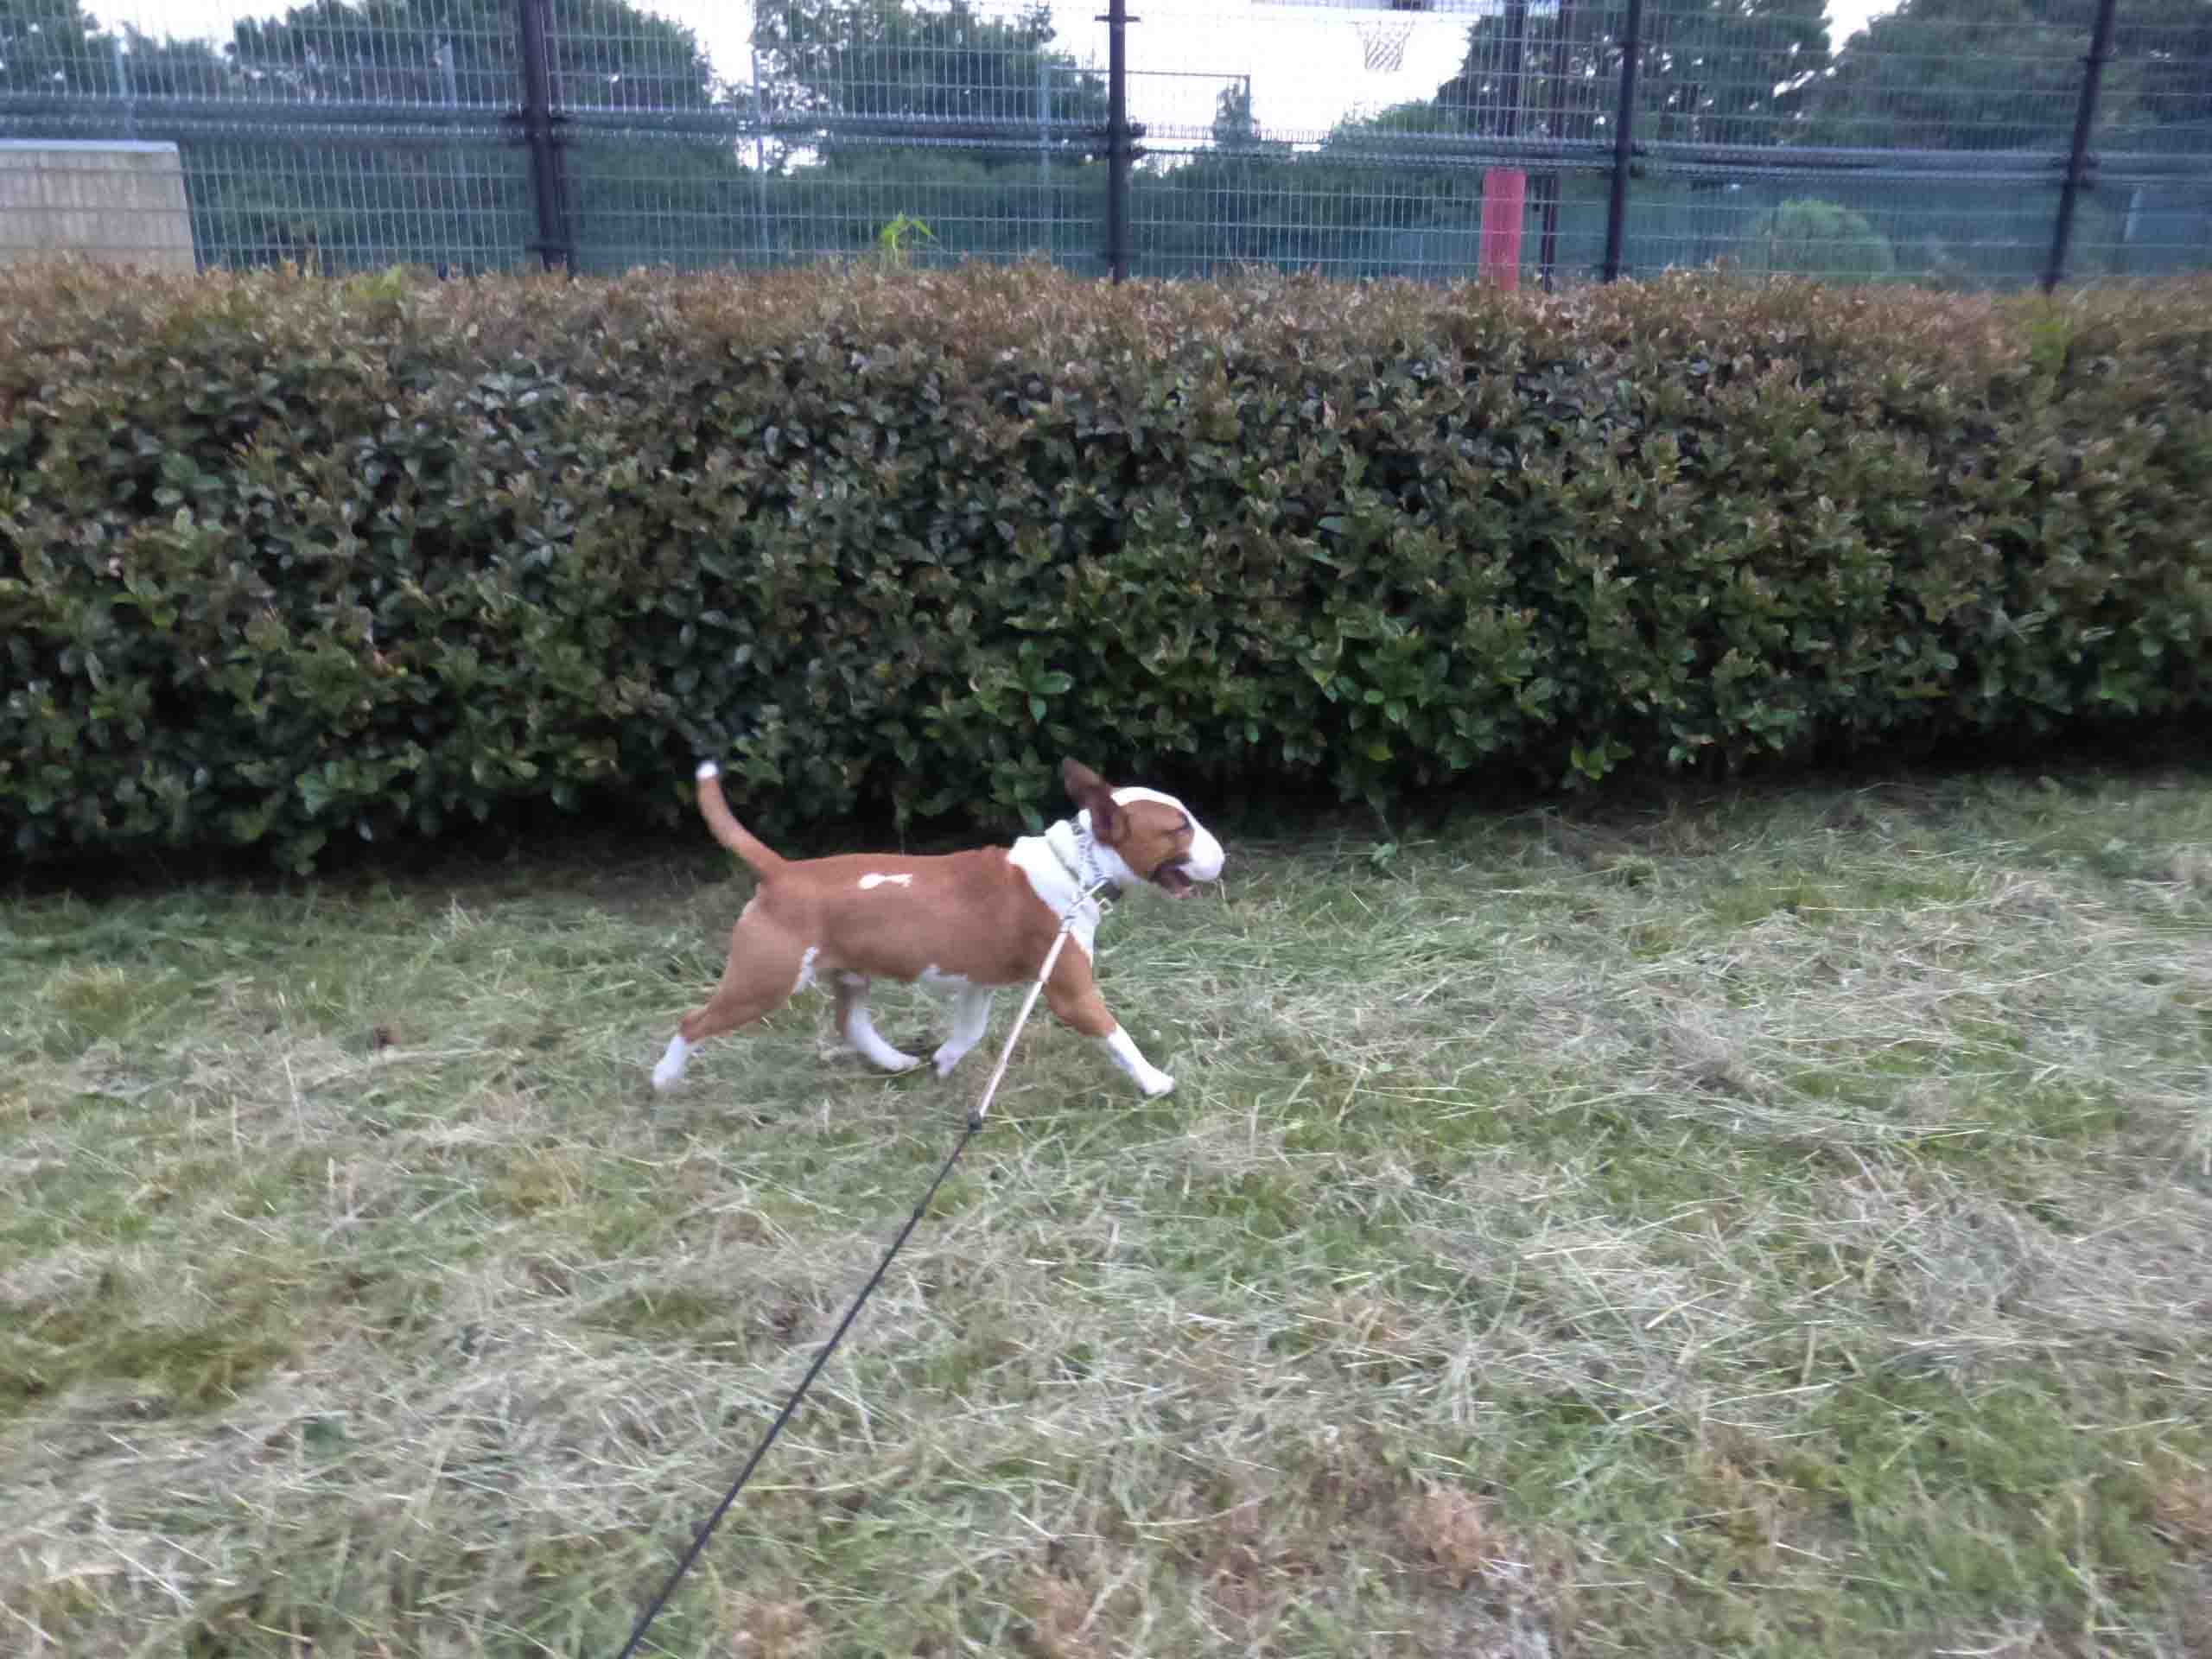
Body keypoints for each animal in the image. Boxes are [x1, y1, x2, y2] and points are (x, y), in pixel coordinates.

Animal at [650, 760, 1230, 1096]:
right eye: (1178, 828)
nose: (1223, 858)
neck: (1076, 867)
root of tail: (782, 871)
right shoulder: (1071, 993)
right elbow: (1116, 1035)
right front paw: (1155, 1081)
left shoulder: (978, 983)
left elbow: (970, 1030)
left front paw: (945, 1061)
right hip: (765, 980)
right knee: (693, 1021)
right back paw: (664, 1079)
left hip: (848, 971)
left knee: (850, 1022)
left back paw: (895, 1059)